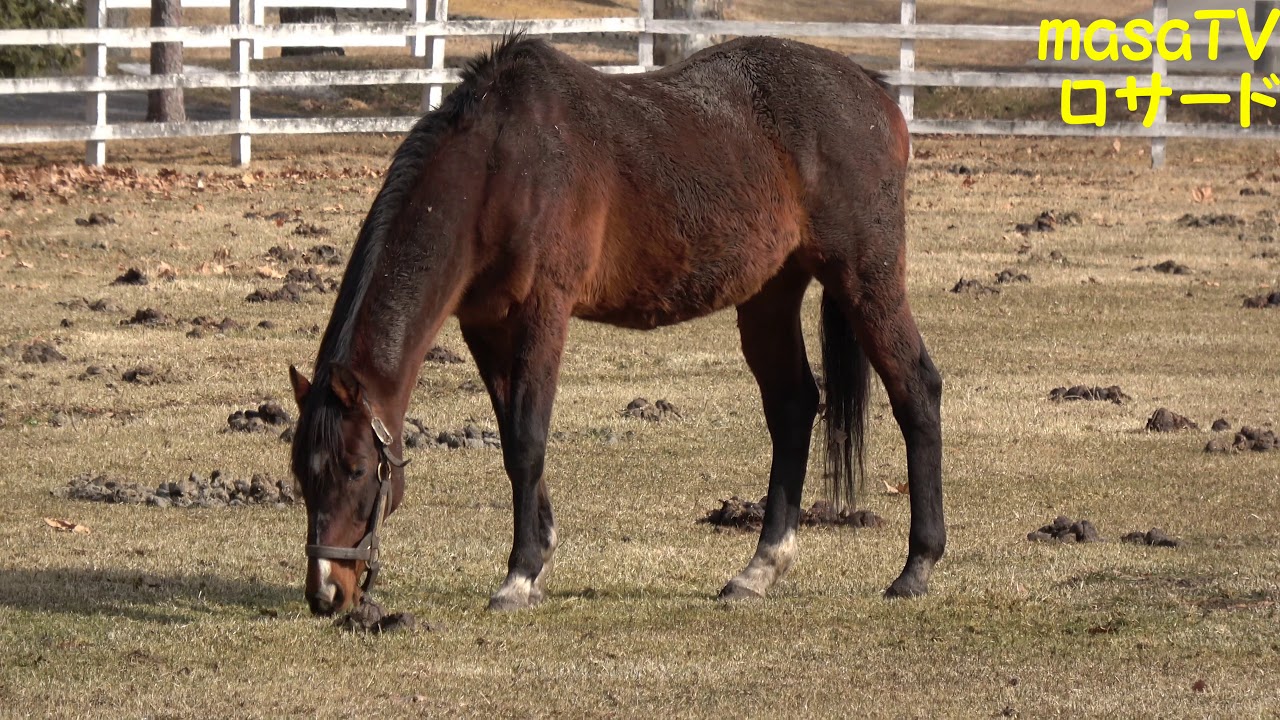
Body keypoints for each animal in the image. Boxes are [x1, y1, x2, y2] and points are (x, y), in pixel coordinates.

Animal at [287, 34, 944, 615]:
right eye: (300, 474)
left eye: (356, 469)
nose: (326, 594)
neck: (501, 167)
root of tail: (877, 96)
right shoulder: (486, 325)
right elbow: (511, 438)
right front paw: (540, 556)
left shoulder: (543, 312)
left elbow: (526, 440)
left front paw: (519, 577)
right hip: (769, 294)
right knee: (793, 407)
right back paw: (758, 570)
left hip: (865, 278)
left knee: (916, 389)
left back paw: (917, 567)